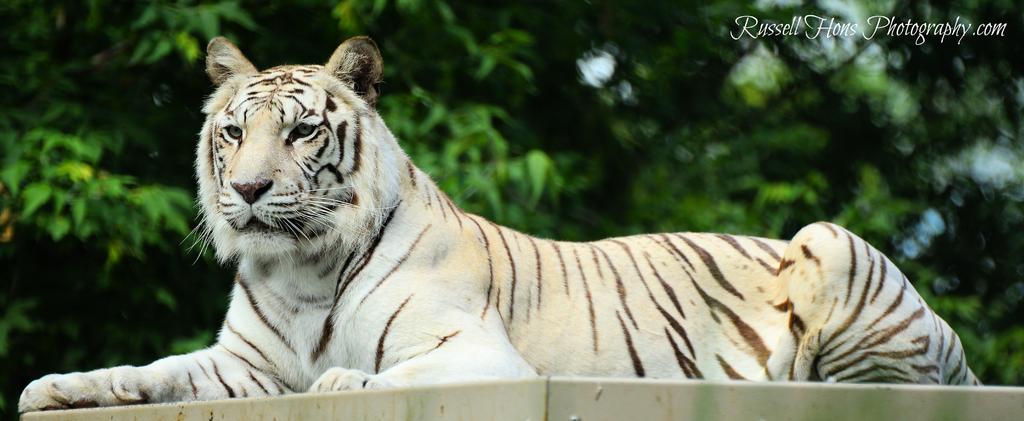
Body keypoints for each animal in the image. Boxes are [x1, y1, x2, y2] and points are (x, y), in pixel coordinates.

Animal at [19, 35, 978, 413]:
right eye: (233, 133)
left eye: (299, 131)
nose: (249, 190)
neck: (299, 269)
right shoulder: (239, 369)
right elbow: (155, 371)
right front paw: (58, 385)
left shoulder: (480, 351)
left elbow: (390, 373)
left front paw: (342, 380)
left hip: (829, 242)